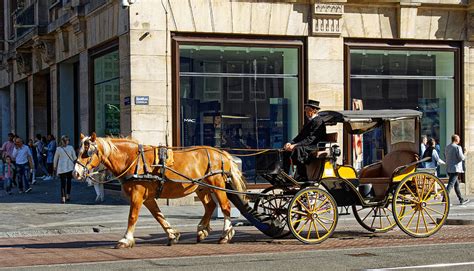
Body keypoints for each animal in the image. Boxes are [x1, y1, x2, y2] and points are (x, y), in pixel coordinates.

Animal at [73, 133, 248, 250]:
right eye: (78, 150)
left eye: (87, 153)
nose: (75, 173)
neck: (133, 161)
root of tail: (221, 153)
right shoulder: (148, 198)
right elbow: (158, 216)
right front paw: (172, 235)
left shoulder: (137, 195)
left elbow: (132, 217)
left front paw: (125, 240)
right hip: (201, 188)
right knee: (210, 206)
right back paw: (202, 231)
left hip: (217, 185)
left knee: (225, 207)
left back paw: (225, 235)